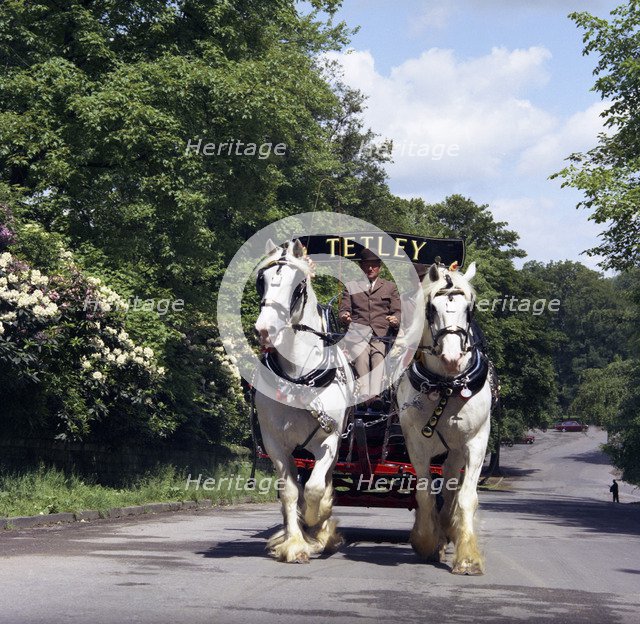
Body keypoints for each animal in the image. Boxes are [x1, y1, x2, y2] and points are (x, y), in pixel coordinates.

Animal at [253, 239, 356, 563]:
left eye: (298, 285)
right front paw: (295, 544)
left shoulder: (329, 439)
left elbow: (314, 489)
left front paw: (315, 522)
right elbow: (290, 491)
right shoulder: (275, 443)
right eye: (261, 281)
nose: (265, 330)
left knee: (322, 482)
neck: (299, 378)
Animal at [396, 261, 493, 575]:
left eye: (469, 307)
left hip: (455, 448)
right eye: (431, 308)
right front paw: (427, 541)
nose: (452, 359)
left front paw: (468, 557)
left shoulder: (476, 440)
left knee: (451, 484)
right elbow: (424, 493)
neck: (446, 386)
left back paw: (450, 528)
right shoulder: (415, 441)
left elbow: (466, 496)